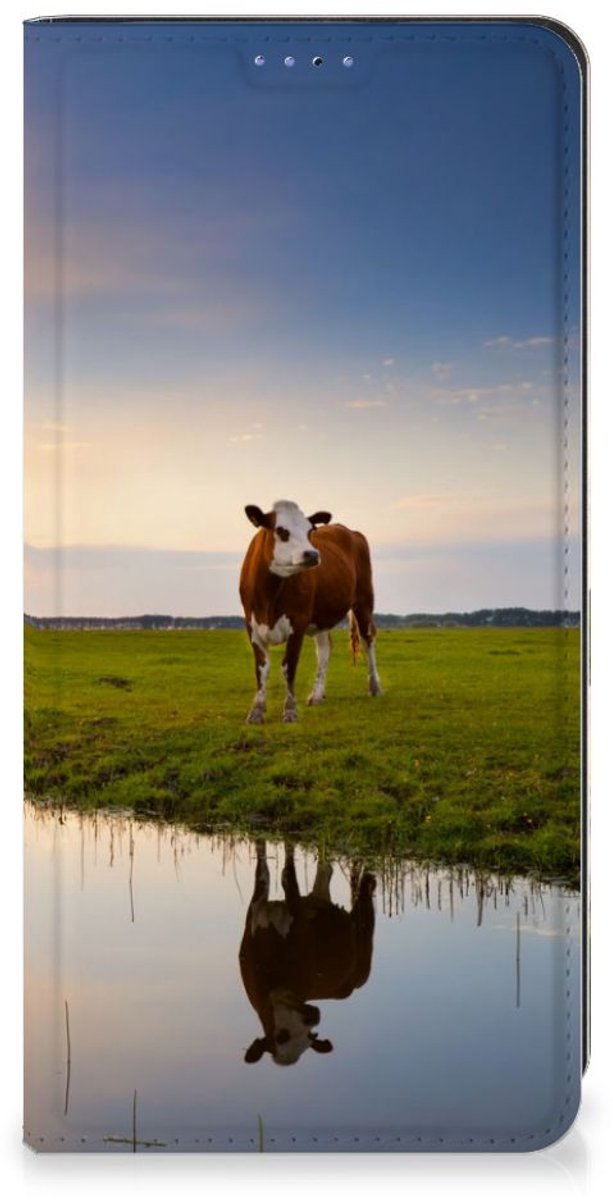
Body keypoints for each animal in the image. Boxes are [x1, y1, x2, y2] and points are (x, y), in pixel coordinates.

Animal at [239, 499, 382, 723]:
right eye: (281, 530)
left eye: (310, 531)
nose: (313, 554)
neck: (269, 596)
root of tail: (349, 530)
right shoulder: (252, 626)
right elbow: (261, 668)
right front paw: (256, 711)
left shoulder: (297, 622)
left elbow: (288, 667)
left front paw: (290, 711)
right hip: (322, 617)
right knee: (324, 649)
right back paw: (316, 695)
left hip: (364, 600)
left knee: (368, 639)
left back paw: (374, 687)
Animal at [239, 841, 376, 1067]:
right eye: (281, 1036)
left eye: (309, 1037)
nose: (314, 1017)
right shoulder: (255, 910)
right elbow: (263, 869)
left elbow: (287, 875)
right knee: (325, 870)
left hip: (363, 943)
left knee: (364, 905)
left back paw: (369, 879)